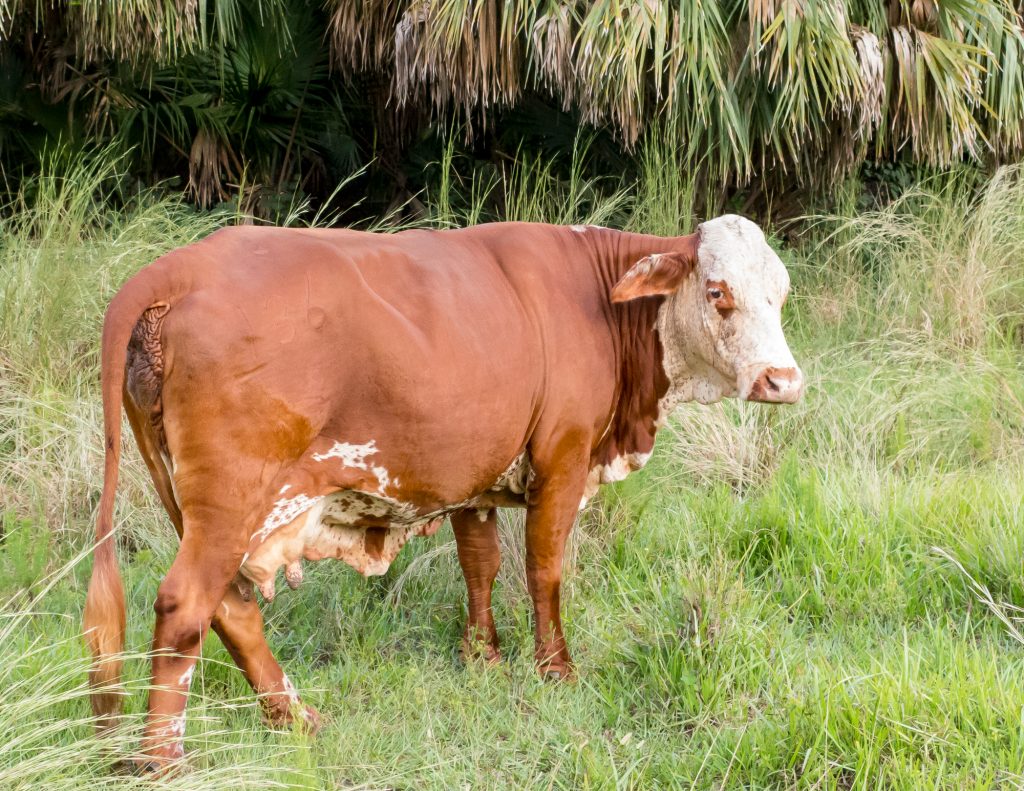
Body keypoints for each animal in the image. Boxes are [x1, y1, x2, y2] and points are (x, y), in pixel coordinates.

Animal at [83, 215, 798, 766]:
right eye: (718, 291)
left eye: (782, 294)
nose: (783, 381)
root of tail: (179, 267)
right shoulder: (563, 458)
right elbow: (544, 569)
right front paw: (554, 669)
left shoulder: (476, 479)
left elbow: (480, 564)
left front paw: (483, 657)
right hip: (233, 499)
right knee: (185, 605)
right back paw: (164, 761)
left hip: (188, 496)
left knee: (229, 608)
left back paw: (294, 720)